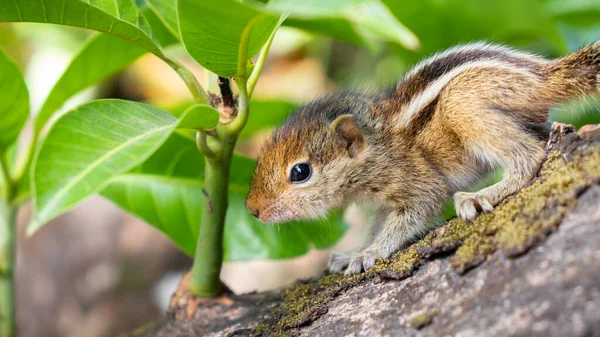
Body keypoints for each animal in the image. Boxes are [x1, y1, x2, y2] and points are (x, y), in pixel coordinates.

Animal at [245, 41, 600, 276]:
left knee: (529, 155)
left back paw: (482, 195)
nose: (252, 210)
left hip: (462, 103)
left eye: (300, 172)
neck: (377, 146)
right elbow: (376, 226)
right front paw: (353, 252)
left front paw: (370, 253)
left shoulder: (414, 182)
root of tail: (545, 77)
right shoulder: (383, 203)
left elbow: (416, 210)